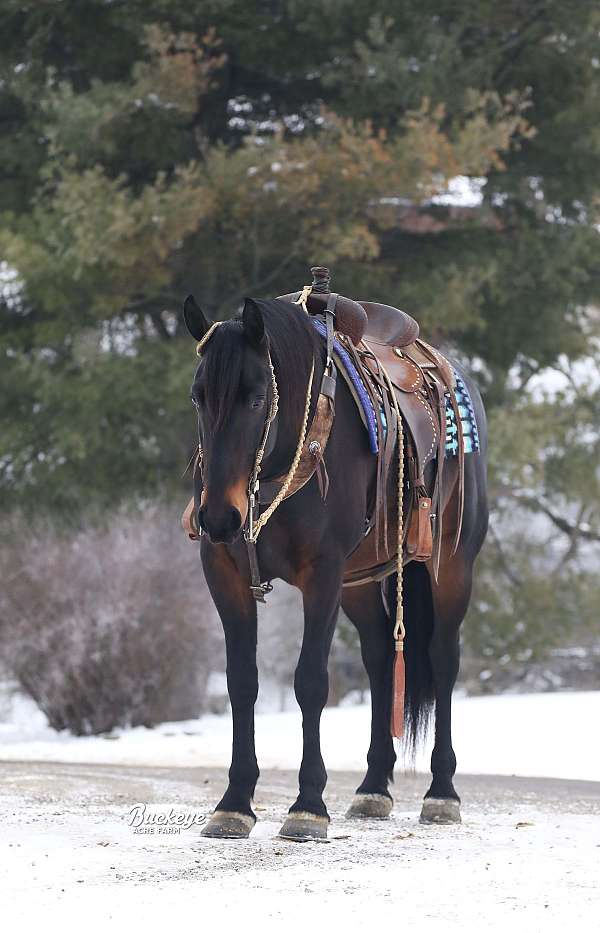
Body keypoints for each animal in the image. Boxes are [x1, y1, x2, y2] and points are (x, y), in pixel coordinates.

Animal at [183, 294, 488, 840]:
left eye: (256, 398)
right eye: (198, 398)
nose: (218, 516)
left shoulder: (321, 575)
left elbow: (310, 681)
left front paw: (308, 806)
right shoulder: (224, 574)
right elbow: (241, 681)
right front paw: (235, 803)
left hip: (452, 568)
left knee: (443, 659)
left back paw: (442, 793)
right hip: (360, 585)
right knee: (380, 658)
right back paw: (372, 788)